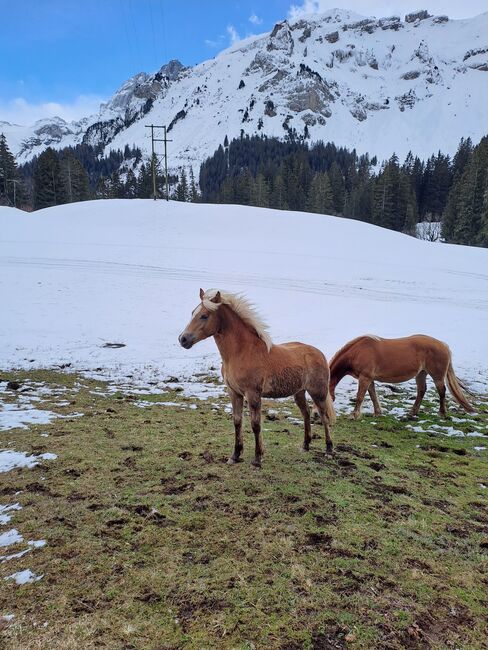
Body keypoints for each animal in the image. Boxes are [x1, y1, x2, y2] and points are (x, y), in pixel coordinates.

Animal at [179, 288, 336, 466]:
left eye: (204, 315)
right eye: (193, 312)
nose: (183, 339)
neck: (240, 352)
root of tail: (319, 353)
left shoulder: (253, 394)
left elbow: (255, 425)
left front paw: (257, 458)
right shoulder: (234, 393)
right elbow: (237, 421)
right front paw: (235, 455)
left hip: (318, 392)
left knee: (324, 417)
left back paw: (329, 450)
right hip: (299, 392)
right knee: (306, 413)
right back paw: (305, 446)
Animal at [328, 332, 472, 418]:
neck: (357, 352)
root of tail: (443, 345)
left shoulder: (365, 378)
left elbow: (360, 396)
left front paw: (354, 415)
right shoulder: (369, 379)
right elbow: (373, 396)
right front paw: (377, 412)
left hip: (437, 376)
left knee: (441, 391)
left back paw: (441, 413)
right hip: (421, 374)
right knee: (421, 390)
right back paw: (412, 412)